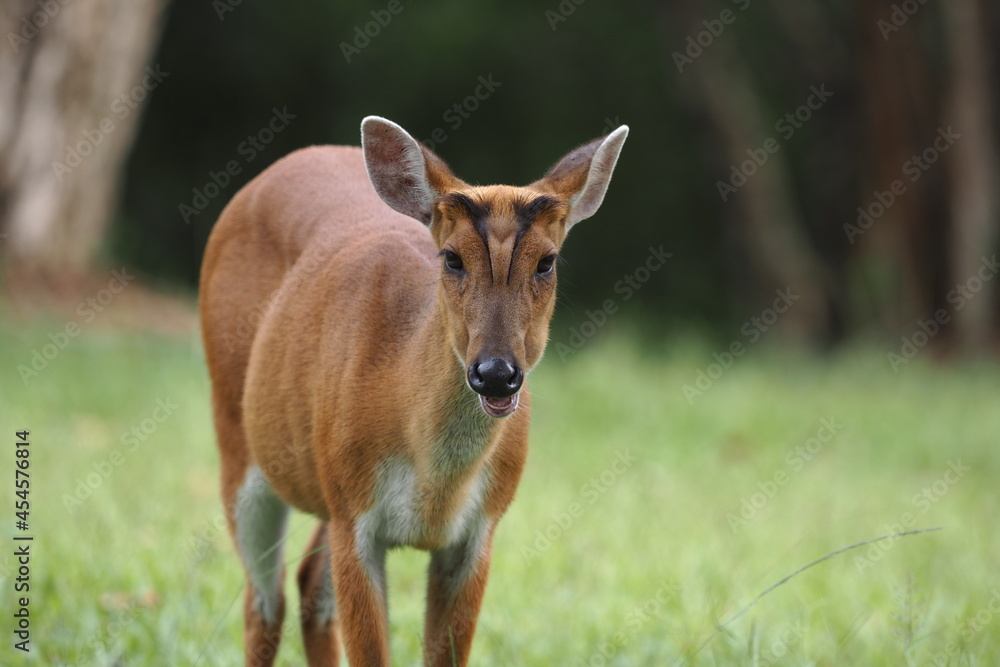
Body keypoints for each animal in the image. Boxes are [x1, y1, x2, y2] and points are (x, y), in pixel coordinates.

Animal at [197, 117, 624, 664]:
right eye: (452, 259)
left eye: (547, 262)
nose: (496, 373)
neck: (435, 482)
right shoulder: (354, 513)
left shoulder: (479, 529)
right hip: (238, 436)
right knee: (262, 603)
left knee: (309, 585)